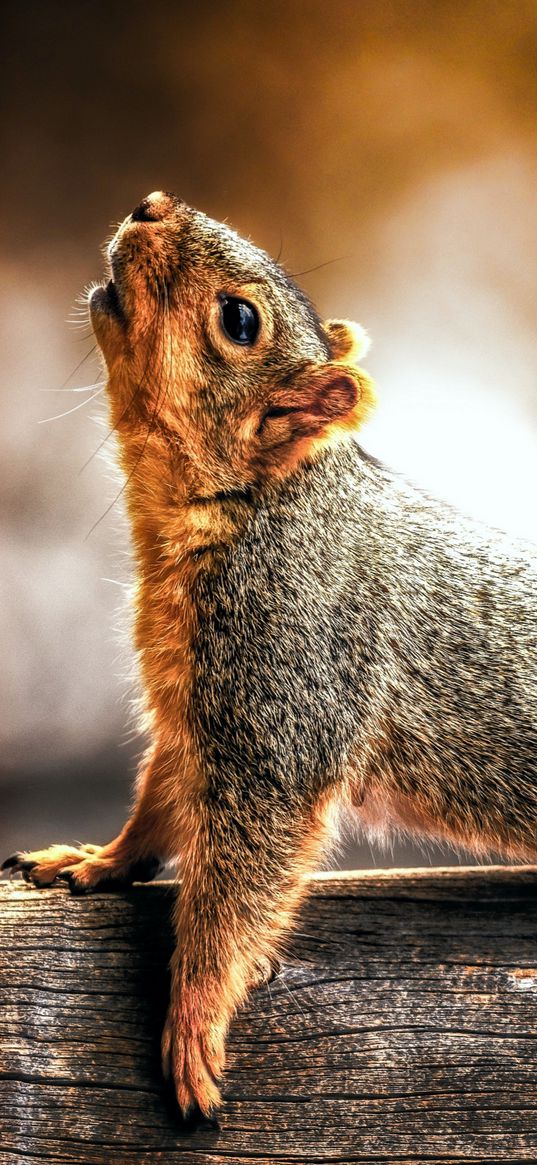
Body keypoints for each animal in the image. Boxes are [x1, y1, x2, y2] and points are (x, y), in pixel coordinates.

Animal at [4, 191, 535, 1118]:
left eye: (240, 321)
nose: (151, 205)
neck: (258, 508)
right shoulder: (188, 708)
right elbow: (160, 800)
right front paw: (99, 861)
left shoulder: (280, 704)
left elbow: (234, 889)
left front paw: (193, 1015)